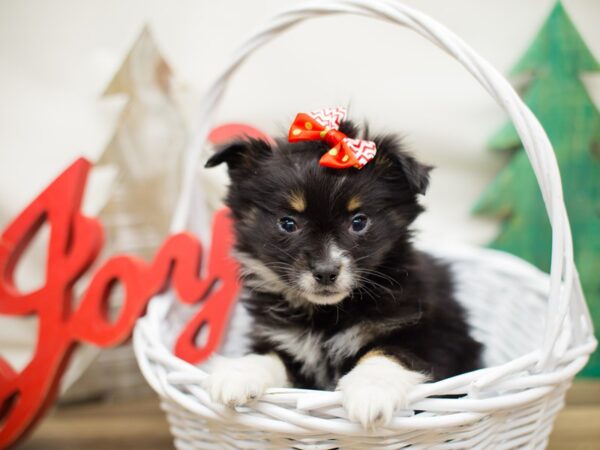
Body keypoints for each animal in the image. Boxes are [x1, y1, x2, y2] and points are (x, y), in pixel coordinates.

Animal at [204, 110, 480, 428]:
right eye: (287, 223)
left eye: (358, 221)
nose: (325, 272)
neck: (328, 316)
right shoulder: (285, 341)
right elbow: (270, 356)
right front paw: (237, 374)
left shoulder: (434, 338)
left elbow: (390, 352)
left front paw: (370, 391)